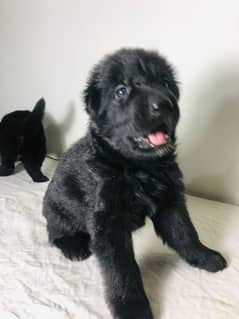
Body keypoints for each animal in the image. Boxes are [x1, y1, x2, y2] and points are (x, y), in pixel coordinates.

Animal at [43, 48, 228, 318]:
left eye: (165, 84)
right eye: (121, 91)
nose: (164, 104)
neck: (137, 167)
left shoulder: (170, 201)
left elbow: (185, 233)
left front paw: (205, 257)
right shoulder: (108, 224)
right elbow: (123, 270)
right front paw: (132, 308)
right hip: (58, 209)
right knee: (55, 232)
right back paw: (74, 246)